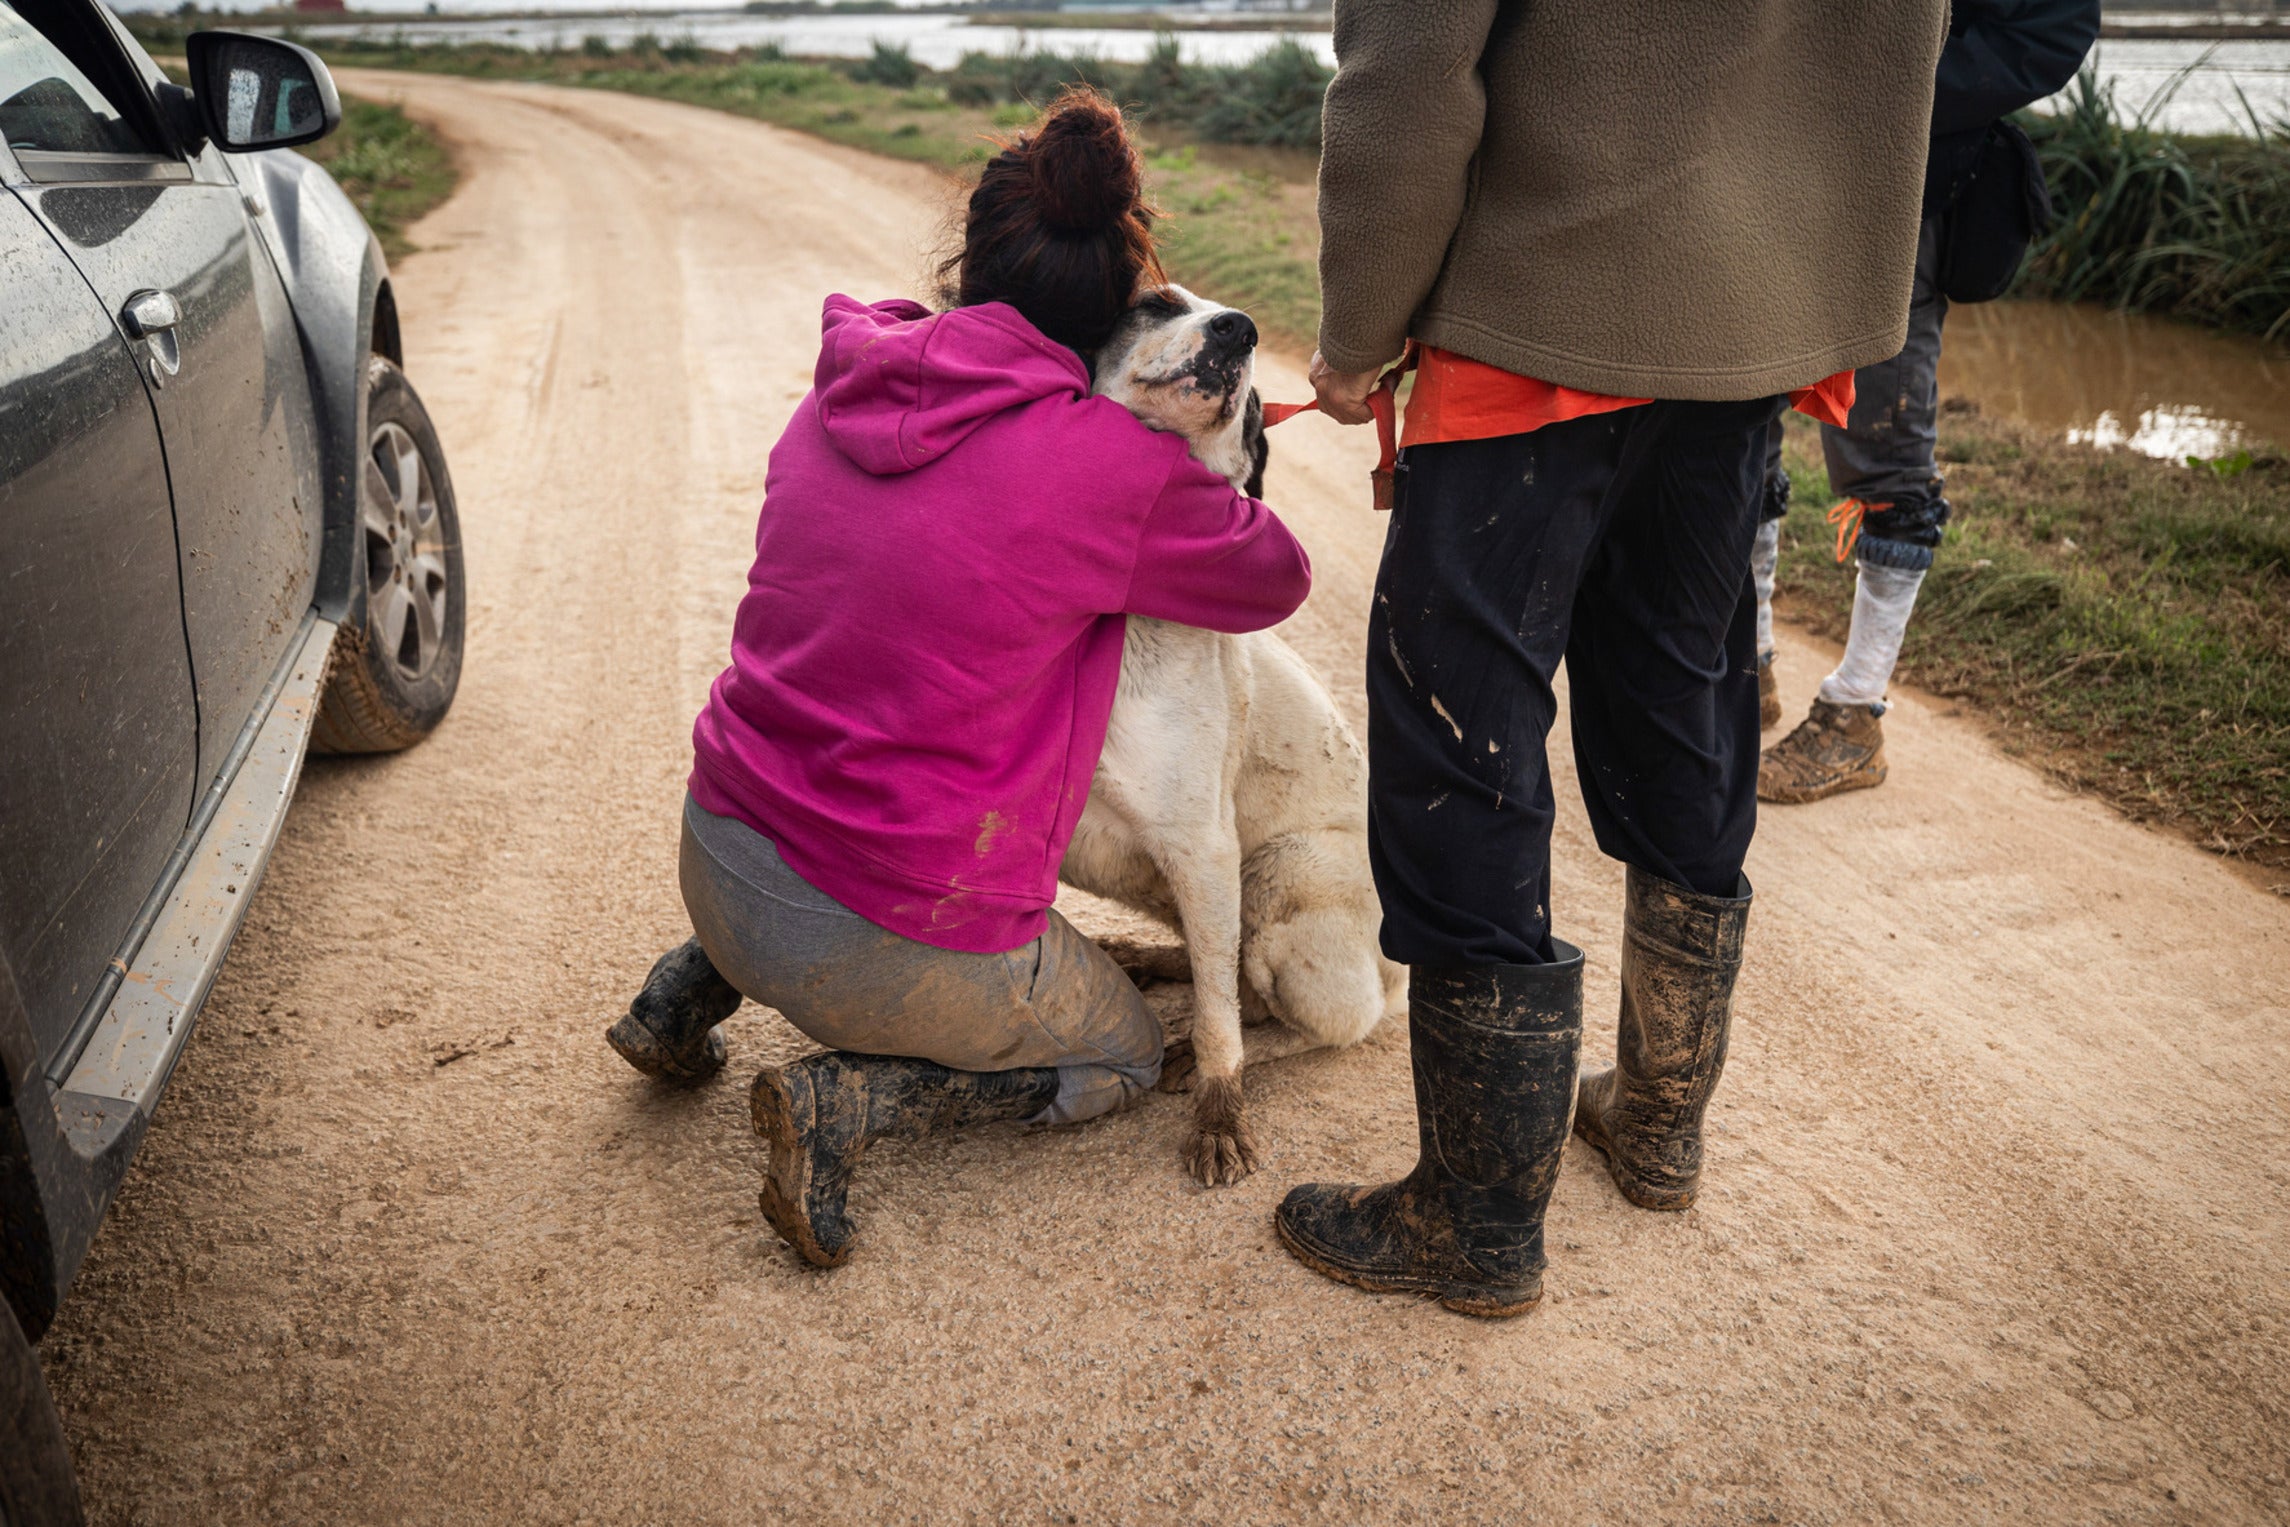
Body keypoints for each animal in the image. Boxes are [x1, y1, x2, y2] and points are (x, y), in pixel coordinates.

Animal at [1062, 289, 1401, 1190]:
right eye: (1155, 304)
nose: (1238, 330)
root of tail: (1399, 977)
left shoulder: (1204, 843)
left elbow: (1221, 1025)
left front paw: (1218, 1117)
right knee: (1217, 960)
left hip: (1280, 870)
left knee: (1302, 1017)